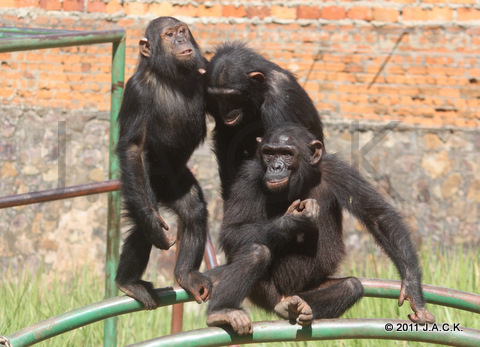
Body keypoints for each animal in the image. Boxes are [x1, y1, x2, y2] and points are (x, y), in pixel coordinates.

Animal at [114, 16, 212, 310]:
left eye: (182, 31)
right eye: (169, 35)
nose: (181, 40)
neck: (170, 77)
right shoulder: (136, 91)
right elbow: (133, 146)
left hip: (175, 183)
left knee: (193, 210)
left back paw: (186, 275)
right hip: (139, 186)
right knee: (144, 226)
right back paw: (128, 282)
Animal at [206, 124, 436, 334]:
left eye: (286, 153)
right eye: (269, 153)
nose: (276, 167)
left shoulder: (337, 170)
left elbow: (378, 216)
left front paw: (413, 291)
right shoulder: (248, 176)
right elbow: (231, 231)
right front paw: (294, 220)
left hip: (310, 287)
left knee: (351, 286)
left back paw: (299, 307)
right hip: (266, 294)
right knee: (256, 251)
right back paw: (222, 311)